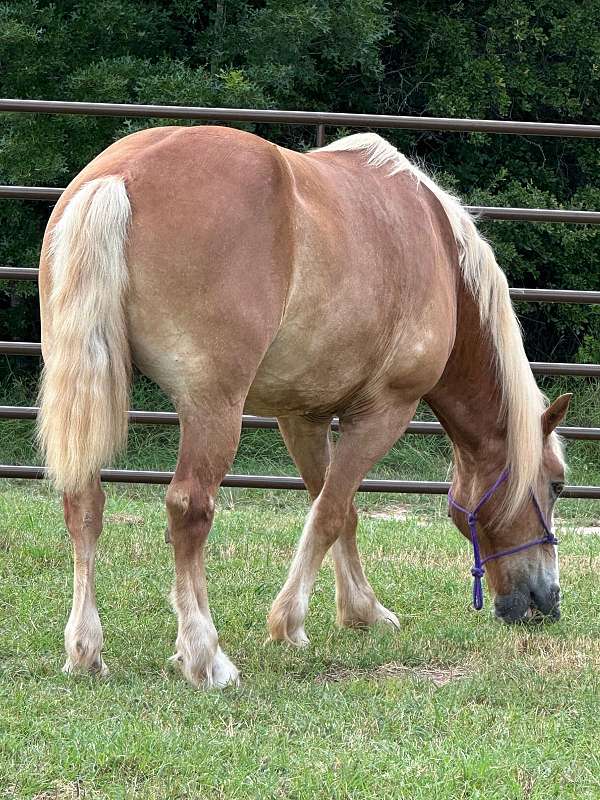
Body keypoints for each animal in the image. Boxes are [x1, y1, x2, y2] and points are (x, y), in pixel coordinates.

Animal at [37, 125, 572, 688]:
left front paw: (361, 611)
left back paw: (85, 649)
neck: (438, 246)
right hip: (213, 408)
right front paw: (290, 621)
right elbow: (332, 511)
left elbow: (338, 508)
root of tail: (119, 177)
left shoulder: (302, 416)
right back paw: (205, 655)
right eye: (557, 484)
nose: (547, 603)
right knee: (188, 508)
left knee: (84, 504)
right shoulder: (385, 411)